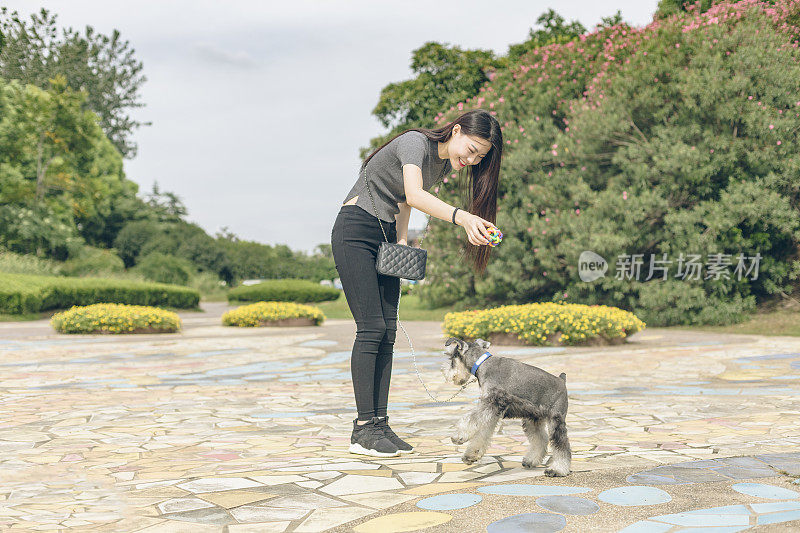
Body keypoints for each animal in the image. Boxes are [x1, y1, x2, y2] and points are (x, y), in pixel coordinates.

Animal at [440, 334, 572, 476]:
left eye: (451, 357)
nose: (445, 372)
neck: (482, 364)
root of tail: (562, 380)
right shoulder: (492, 411)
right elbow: (482, 433)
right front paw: (471, 455)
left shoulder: (490, 403)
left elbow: (471, 419)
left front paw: (458, 437)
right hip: (533, 418)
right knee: (541, 439)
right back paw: (531, 461)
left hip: (556, 419)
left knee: (561, 444)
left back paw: (557, 469)